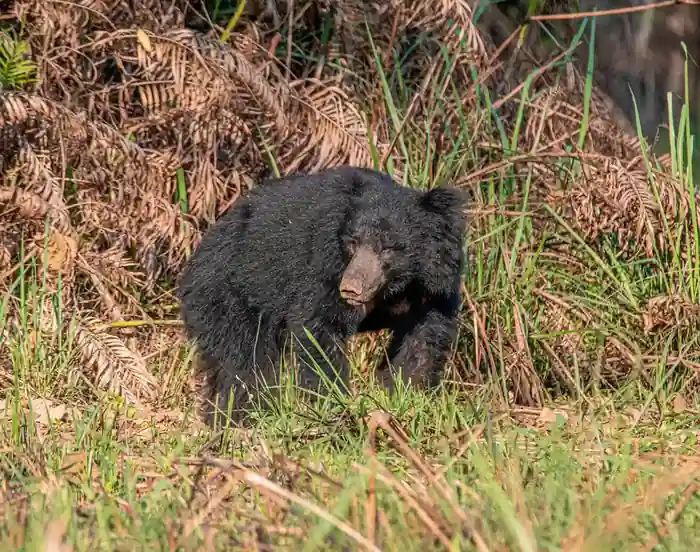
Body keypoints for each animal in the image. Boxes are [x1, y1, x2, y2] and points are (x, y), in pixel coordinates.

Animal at [177, 166, 467, 423]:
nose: (351, 287)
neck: (395, 287)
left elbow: (423, 338)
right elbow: (319, 328)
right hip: (227, 296)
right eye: (353, 242)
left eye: (388, 247)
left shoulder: (434, 286)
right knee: (244, 362)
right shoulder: (324, 266)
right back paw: (240, 417)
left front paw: (405, 393)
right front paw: (335, 401)